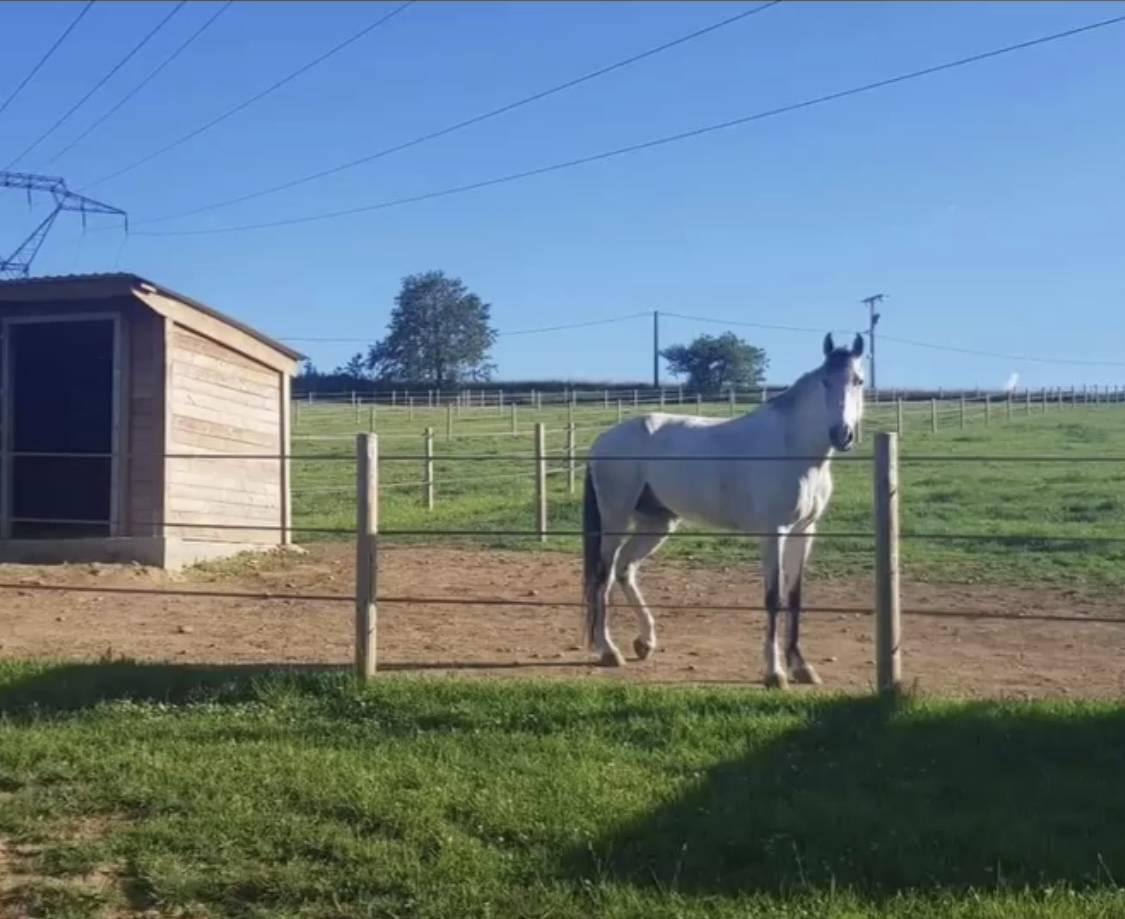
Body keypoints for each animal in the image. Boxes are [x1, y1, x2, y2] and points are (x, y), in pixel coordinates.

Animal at [581, 332, 866, 688]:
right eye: (825, 381)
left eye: (859, 380)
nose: (842, 435)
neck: (794, 448)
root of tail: (602, 442)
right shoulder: (774, 533)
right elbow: (773, 597)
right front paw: (774, 673)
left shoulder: (804, 531)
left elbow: (794, 597)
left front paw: (802, 667)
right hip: (615, 519)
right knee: (602, 576)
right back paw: (609, 651)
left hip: (657, 523)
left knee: (625, 569)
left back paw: (644, 642)